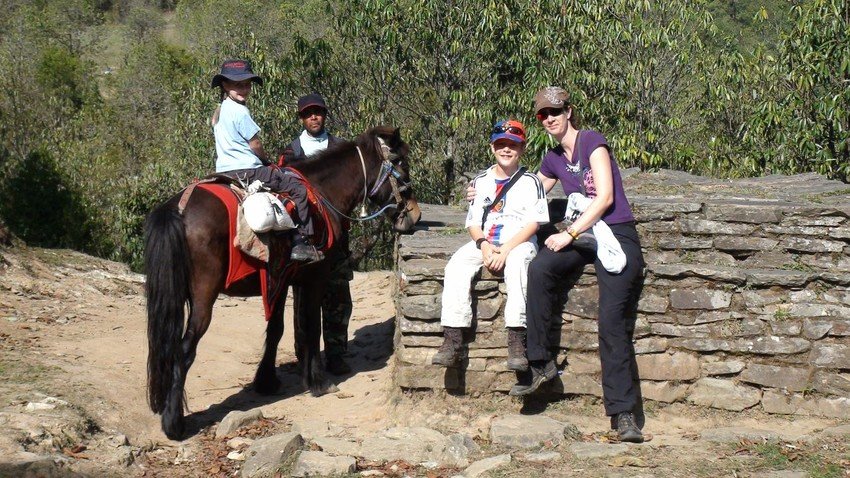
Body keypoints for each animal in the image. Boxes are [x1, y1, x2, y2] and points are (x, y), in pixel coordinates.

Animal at [143, 125, 420, 438]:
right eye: (402, 164)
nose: (414, 214)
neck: (321, 192)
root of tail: (178, 208)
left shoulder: (279, 279)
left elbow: (276, 329)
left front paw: (266, 380)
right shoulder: (314, 278)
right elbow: (311, 326)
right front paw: (317, 381)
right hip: (203, 297)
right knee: (183, 349)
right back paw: (174, 423)